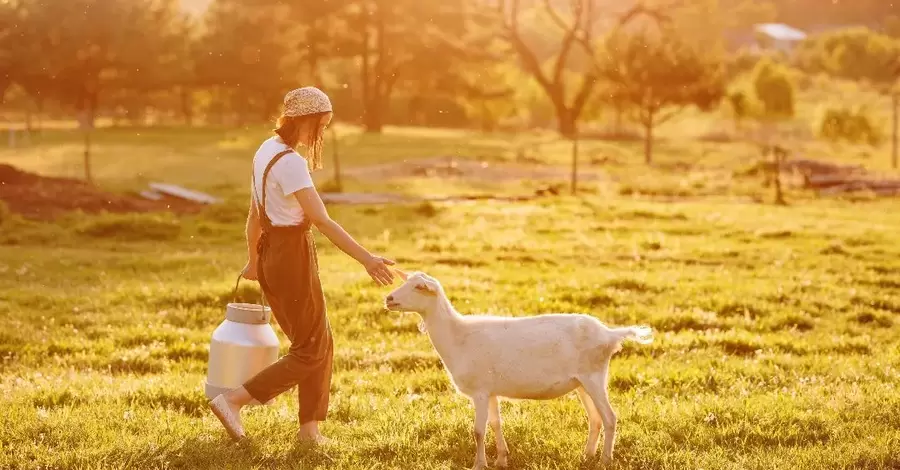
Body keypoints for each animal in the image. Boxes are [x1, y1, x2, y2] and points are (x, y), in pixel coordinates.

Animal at [384, 272, 652, 470]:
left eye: (418, 287)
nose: (388, 299)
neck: (457, 335)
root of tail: (610, 334)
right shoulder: (490, 391)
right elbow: (495, 425)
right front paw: (501, 459)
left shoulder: (480, 391)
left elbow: (478, 431)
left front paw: (478, 464)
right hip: (582, 383)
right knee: (595, 419)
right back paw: (587, 456)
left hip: (594, 378)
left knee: (609, 418)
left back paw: (605, 460)